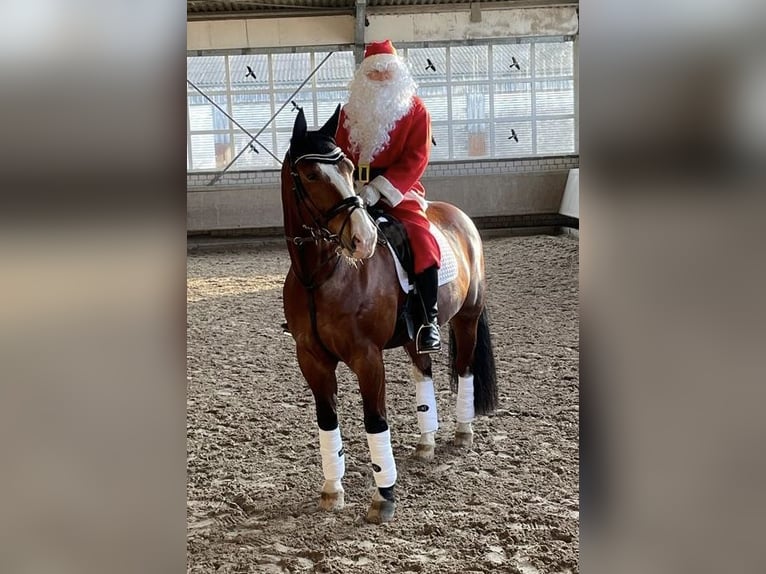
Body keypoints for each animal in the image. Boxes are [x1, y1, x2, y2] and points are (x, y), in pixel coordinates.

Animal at [280, 104, 498, 528]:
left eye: (349, 169)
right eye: (311, 174)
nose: (362, 239)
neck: (322, 275)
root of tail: (459, 217)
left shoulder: (367, 358)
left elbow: (375, 421)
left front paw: (384, 496)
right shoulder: (310, 359)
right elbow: (327, 420)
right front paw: (332, 490)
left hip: (466, 317)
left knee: (464, 369)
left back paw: (463, 431)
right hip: (416, 336)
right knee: (424, 374)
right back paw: (427, 441)